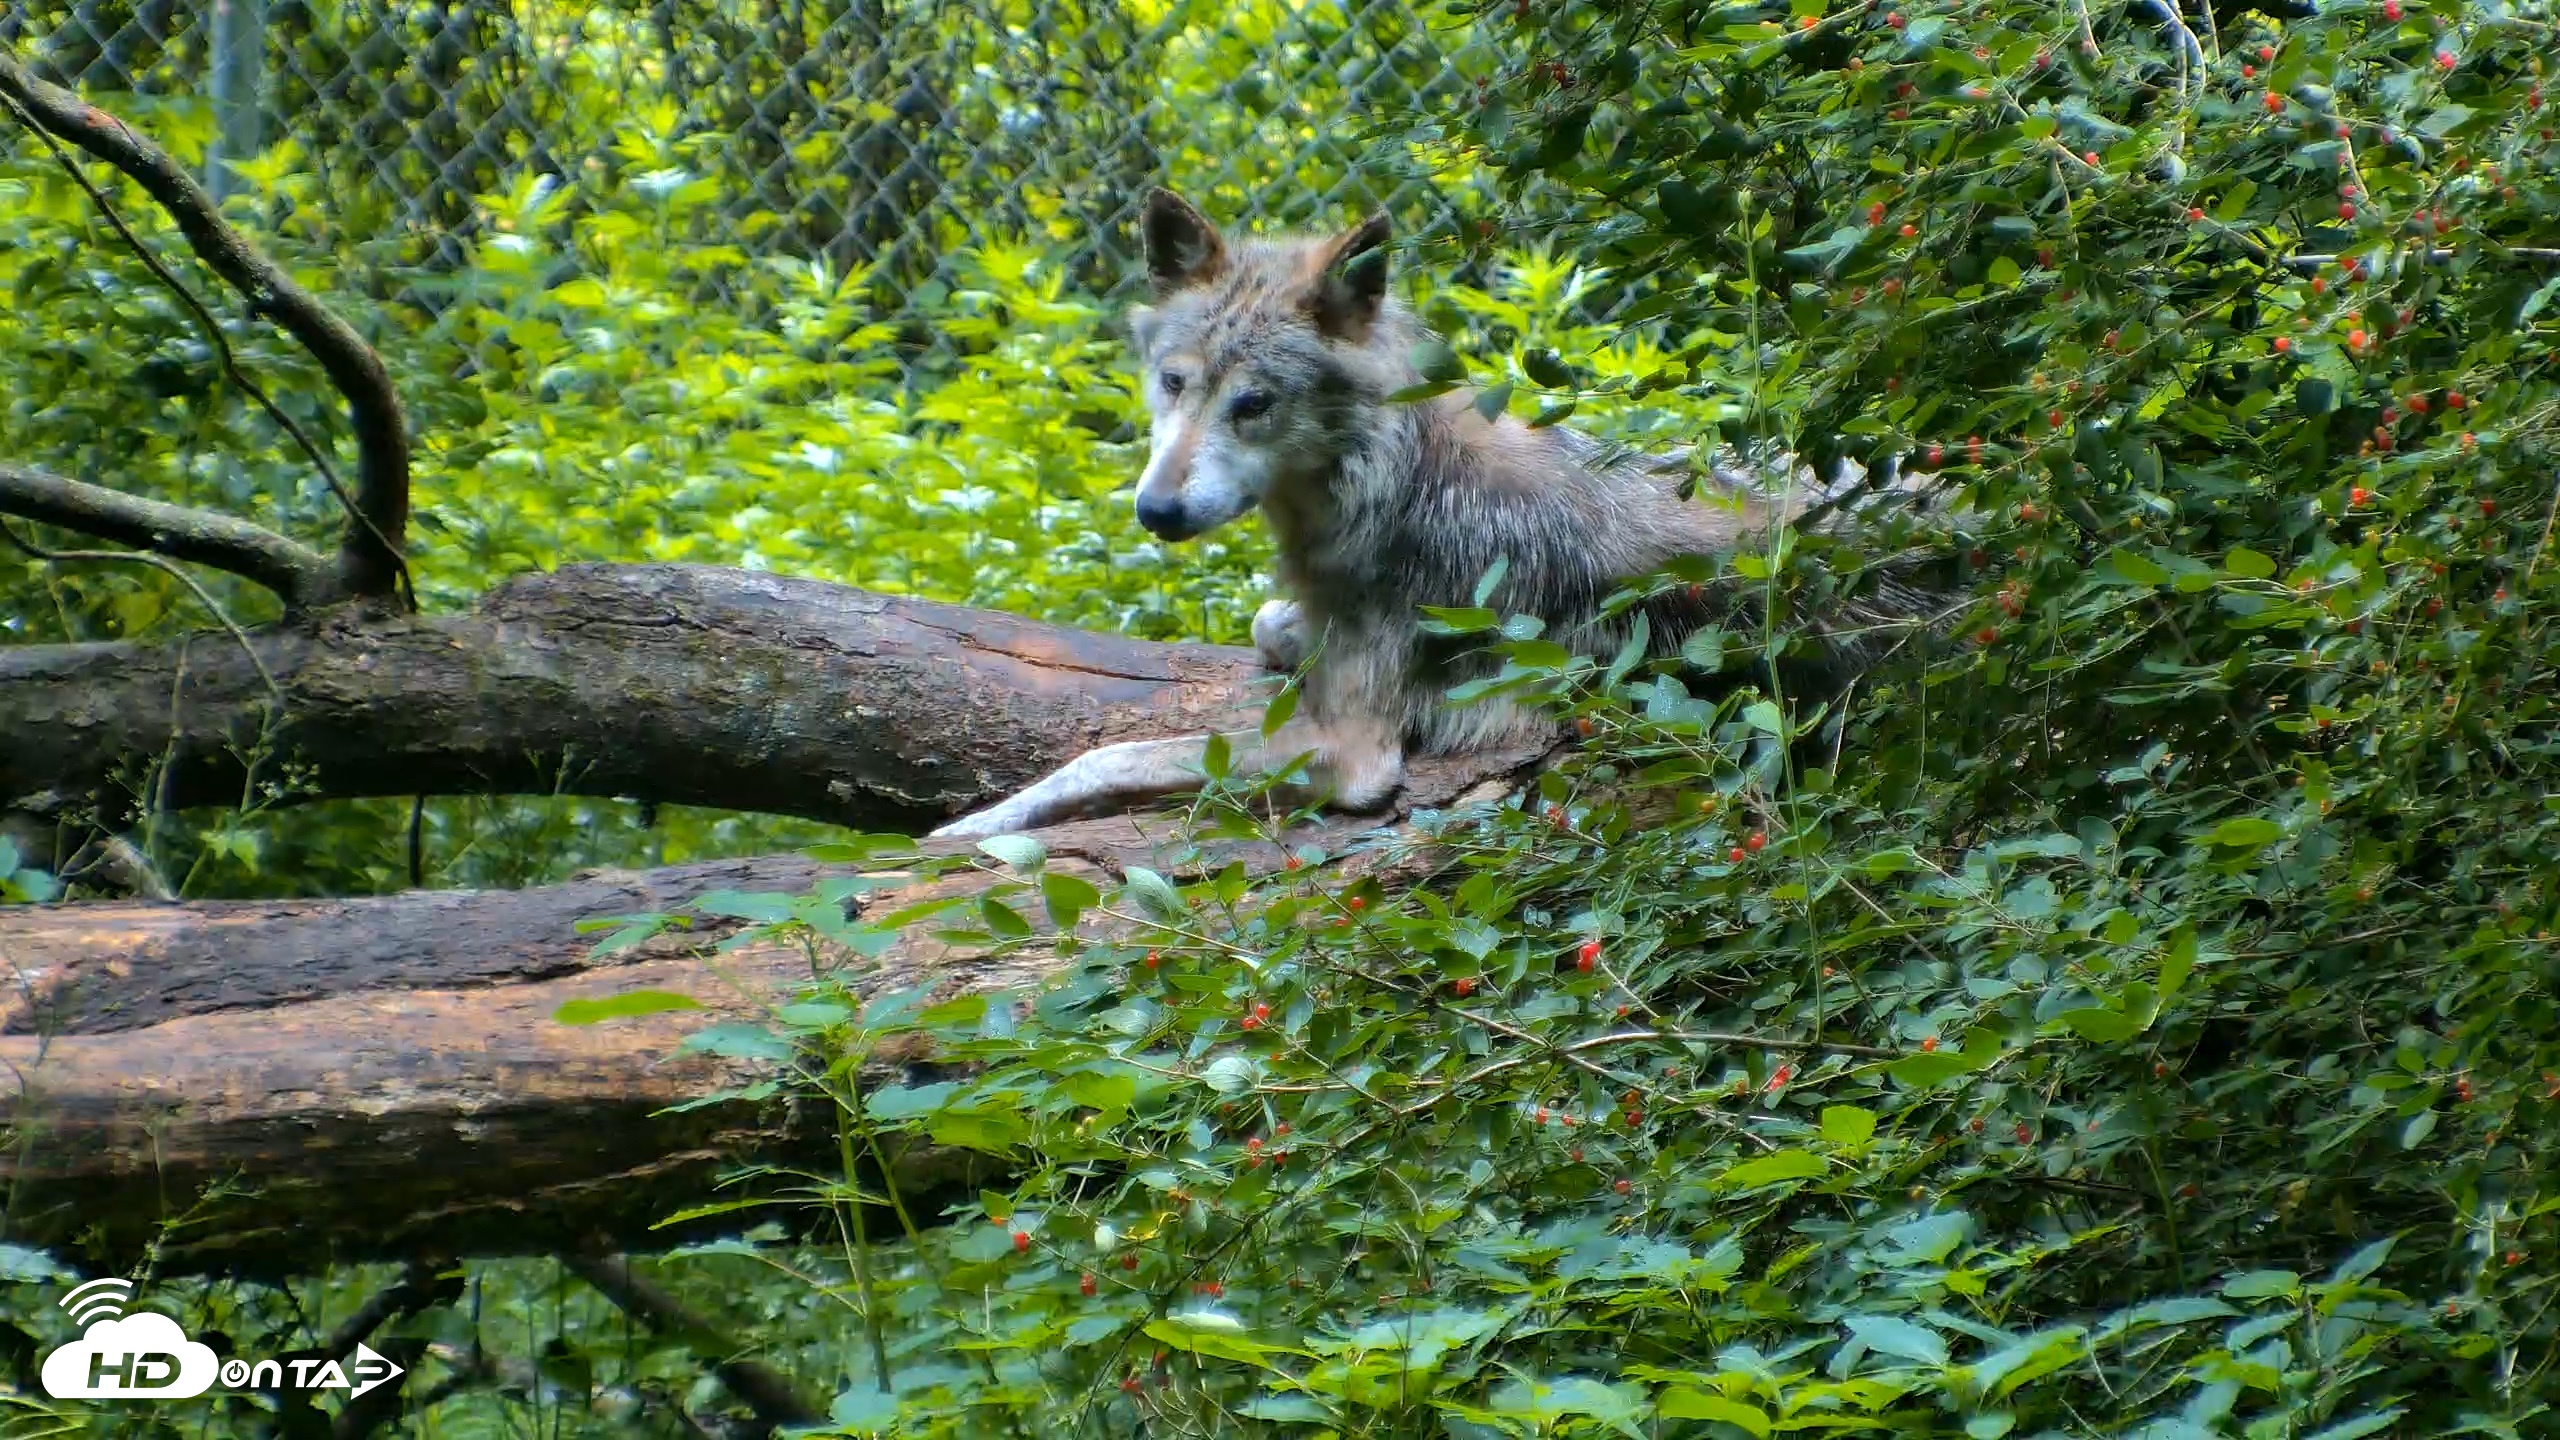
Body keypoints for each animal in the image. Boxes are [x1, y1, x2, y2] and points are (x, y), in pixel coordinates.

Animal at [929, 189, 1938, 842]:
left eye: (1254, 405)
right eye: (1174, 385)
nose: (1156, 509)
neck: (1382, 481)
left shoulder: (1353, 755)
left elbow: (1109, 759)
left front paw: (978, 823)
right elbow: (1266, 625)